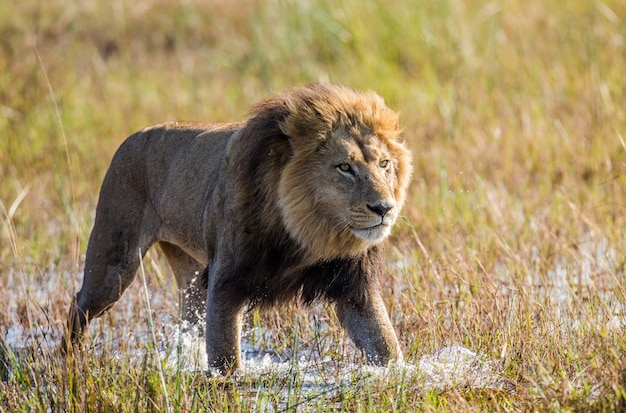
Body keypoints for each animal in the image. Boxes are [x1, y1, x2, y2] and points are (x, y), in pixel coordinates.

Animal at [67, 82, 410, 372]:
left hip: (190, 274)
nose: (384, 208)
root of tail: (134, 135)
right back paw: (70, 360)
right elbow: (225, 357)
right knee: (79, 305)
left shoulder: (355, 287)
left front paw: (397, 375)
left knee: (188, 317)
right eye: (344, 167)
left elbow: (384, 343)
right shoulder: (226, 281)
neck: (309, 233)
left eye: (384, 164)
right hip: (113, 266)